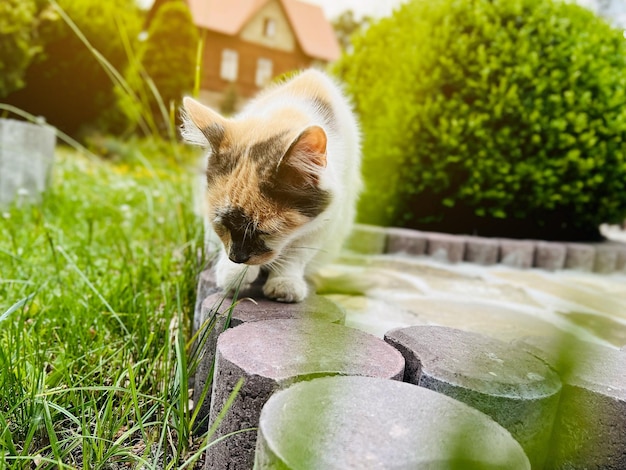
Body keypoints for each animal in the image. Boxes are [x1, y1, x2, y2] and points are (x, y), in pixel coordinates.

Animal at [180, 70, 358, 302]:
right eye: (222, 224)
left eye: (267, 231)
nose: (236, 257)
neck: (289, 110)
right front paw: (235, 274)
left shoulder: (328, 219)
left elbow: (297, 252)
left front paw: (284, 284)